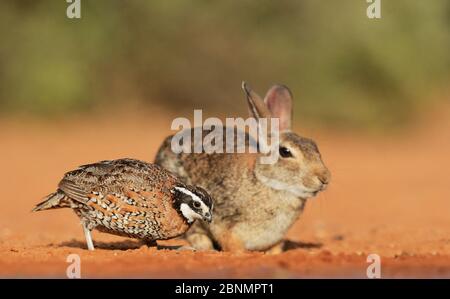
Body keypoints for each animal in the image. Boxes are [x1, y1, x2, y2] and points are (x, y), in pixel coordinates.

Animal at [156, 83, 330, 252]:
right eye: (285, 152)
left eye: (314, 145)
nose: (325, 178)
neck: (266, 182)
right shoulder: (221, 220)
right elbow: (231, 243)